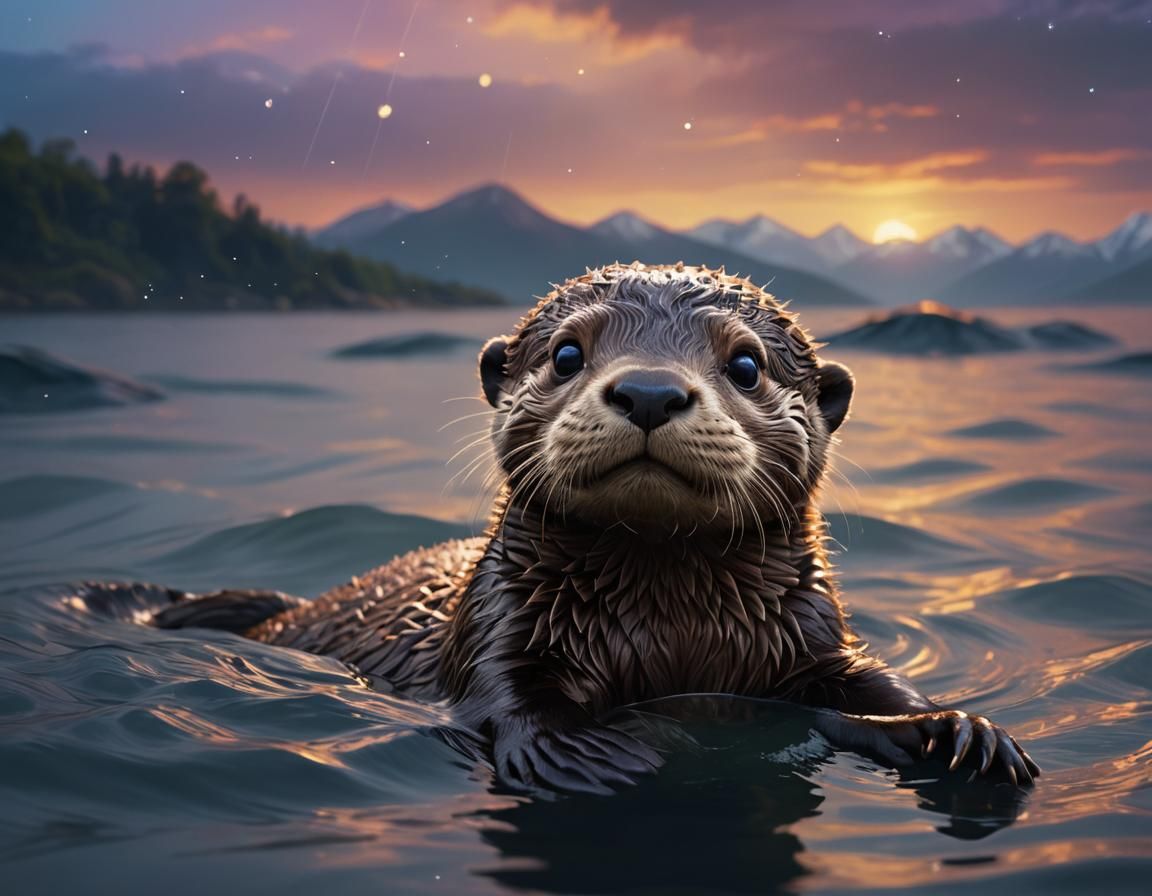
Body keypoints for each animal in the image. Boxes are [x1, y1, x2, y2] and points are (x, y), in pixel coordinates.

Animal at [77, 263, 1038, 793]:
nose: (649, 389)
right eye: (569, 353)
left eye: (747, 365)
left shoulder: (809, 640)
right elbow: (512, 707)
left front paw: (963, 732)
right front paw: (606, 753)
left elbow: (873, 688)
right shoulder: (495, 628)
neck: (670, 633)